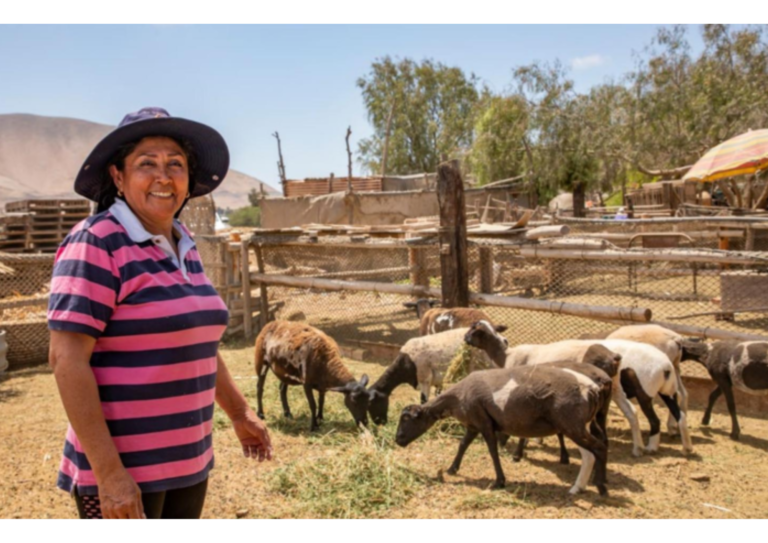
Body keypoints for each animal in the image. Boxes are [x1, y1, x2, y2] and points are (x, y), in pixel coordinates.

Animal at [368, 330, 504, 428]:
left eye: (371, 403)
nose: (380, 423)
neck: (406, 363)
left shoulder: (425, 379)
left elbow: (423, 401)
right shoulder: (437, 381)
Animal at [396, 366, 612, 498]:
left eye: (406, 419)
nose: (397, 439)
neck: (455, 400)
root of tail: (592, 388)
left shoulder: (484, 424)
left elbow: (492, 451)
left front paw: (499, 481)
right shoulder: (474, 424)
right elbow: (462, 445)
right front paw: (452, 469)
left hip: (572, 424)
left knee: (597, 450)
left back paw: (597, 487)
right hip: (581, 424)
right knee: (595, 450)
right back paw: (583, 486)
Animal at [462, 324, 696, 460]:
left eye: (474, 331)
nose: (464, 339)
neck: (507, 355)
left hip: (640, 390)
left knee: (645, 416)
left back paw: (647, 447)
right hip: (646, 388)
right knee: (673, 409)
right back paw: (677, 446)